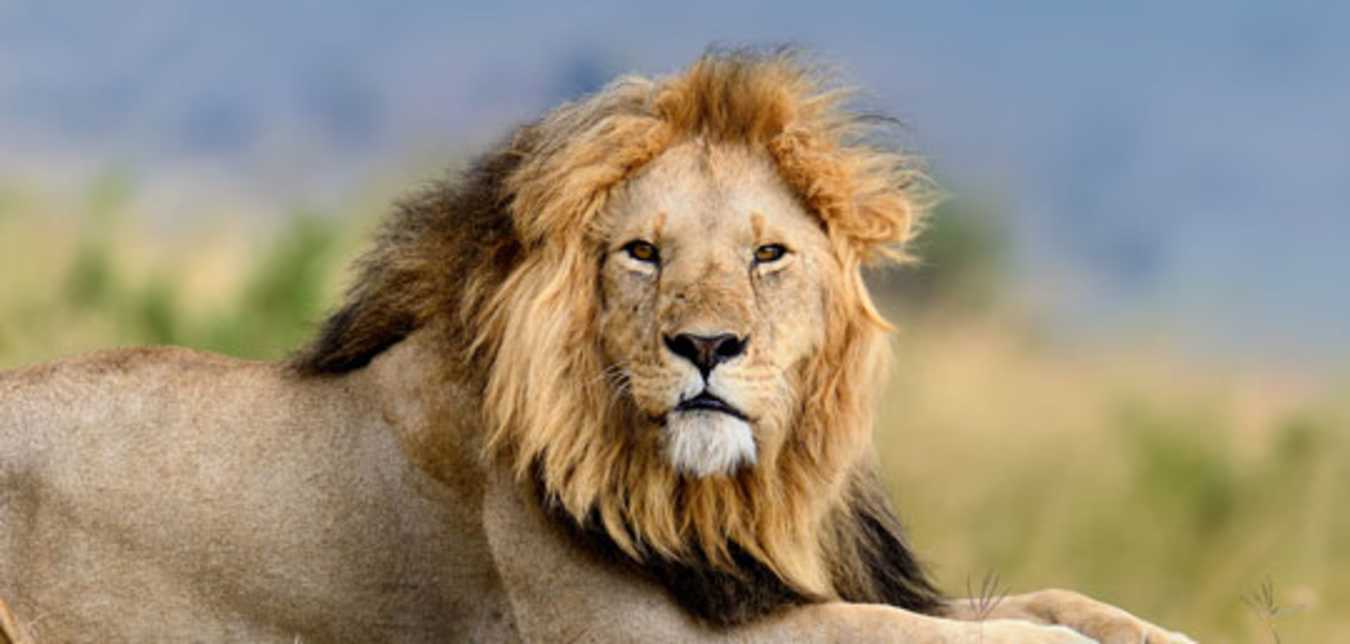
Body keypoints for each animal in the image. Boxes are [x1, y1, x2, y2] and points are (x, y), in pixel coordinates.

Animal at [0, 51, 1192, 643]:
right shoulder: (634, 634)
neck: (731, 493)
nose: (706, 345)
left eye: (767, 254)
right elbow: (909, 636)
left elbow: (1049, 598)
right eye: (640, 253)